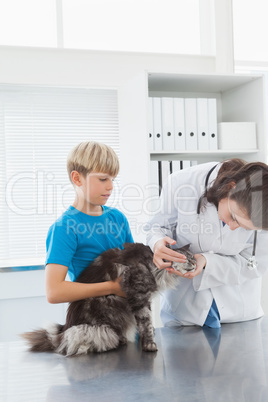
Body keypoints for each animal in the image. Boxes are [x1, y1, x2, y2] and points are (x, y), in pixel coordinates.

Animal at [22, 242, 196, 354]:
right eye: (185, 258)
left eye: (193, 257)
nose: (195, 263)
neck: (154, 265)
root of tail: (63, 331)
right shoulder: (139, 297)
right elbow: (146, 322)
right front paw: (149, 343)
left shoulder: (145, 299)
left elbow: (147, 322)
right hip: (100, 322)